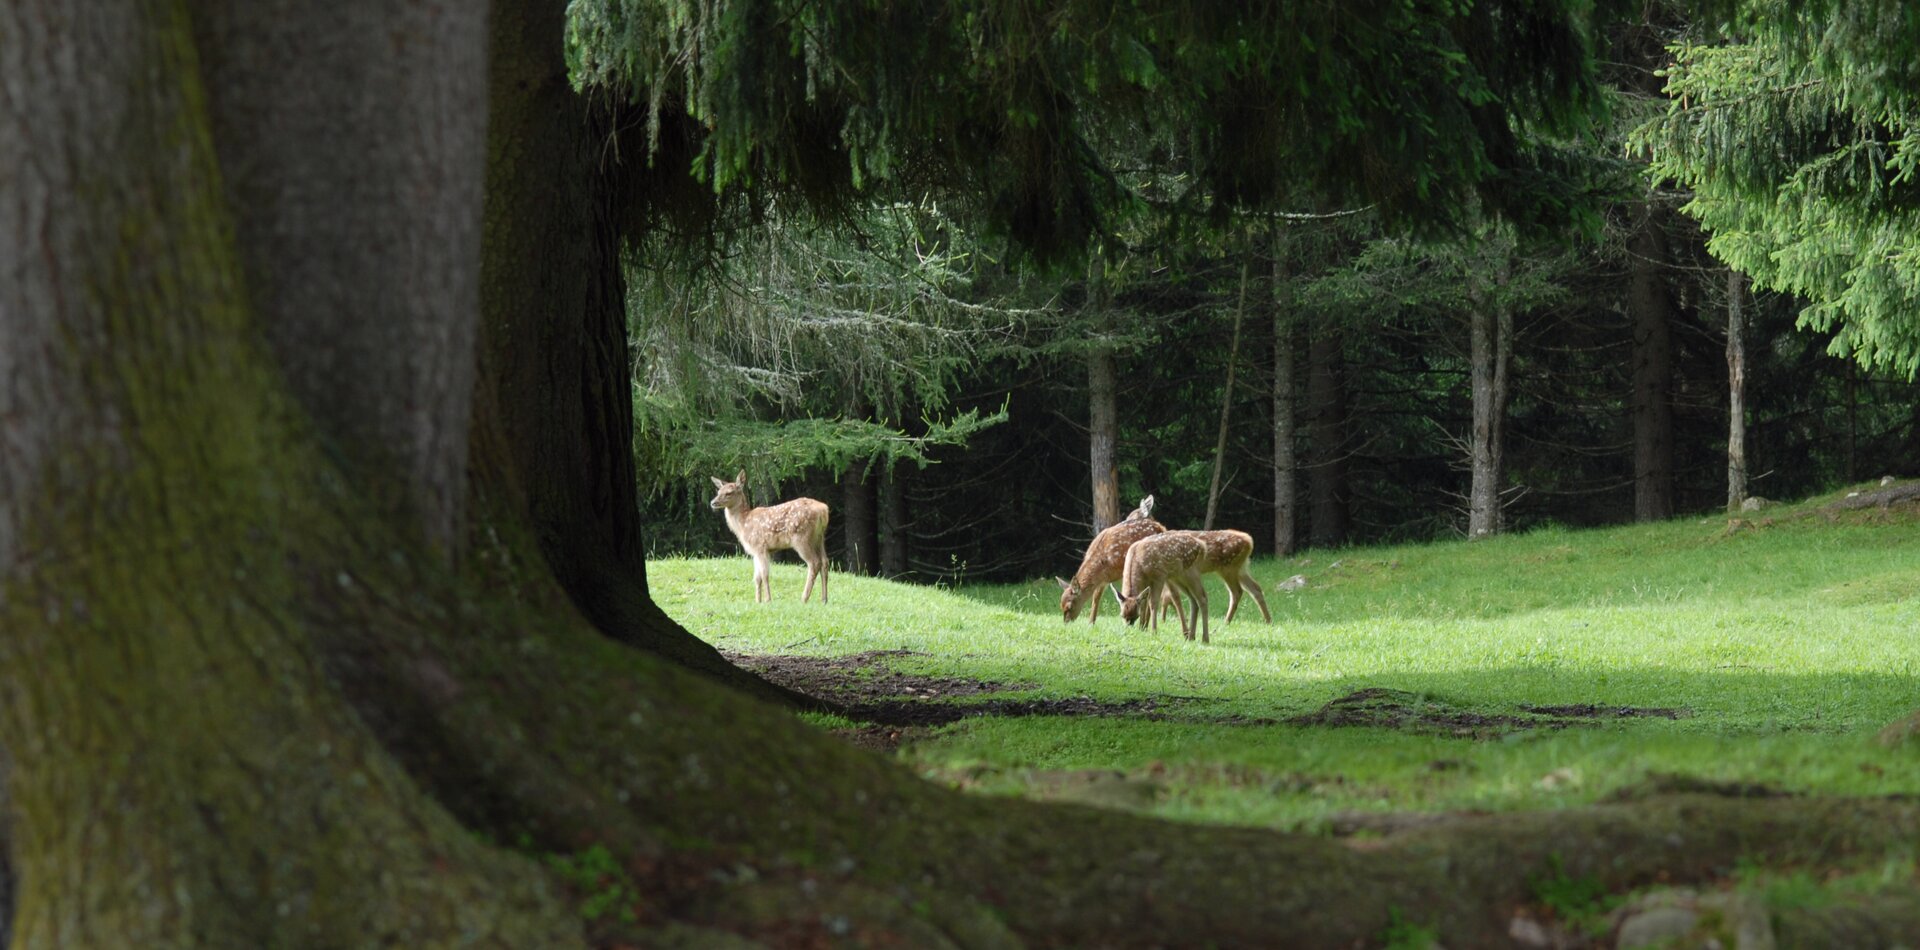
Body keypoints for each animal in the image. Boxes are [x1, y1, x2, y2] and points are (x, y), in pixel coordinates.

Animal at [706, 472, 825, 606]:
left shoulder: (760, 546)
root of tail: (823, 510)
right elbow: (757, 578)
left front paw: (768, 600)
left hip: (802, 538)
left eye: (729, 492)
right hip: (819, 537)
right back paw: (824, 599)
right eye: (718, 491)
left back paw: (804, 598)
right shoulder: (754, 552)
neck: (743, 524)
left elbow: (764, 575)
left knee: (814, 563)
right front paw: (758, 601)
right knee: (825, 562)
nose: (713, 502)